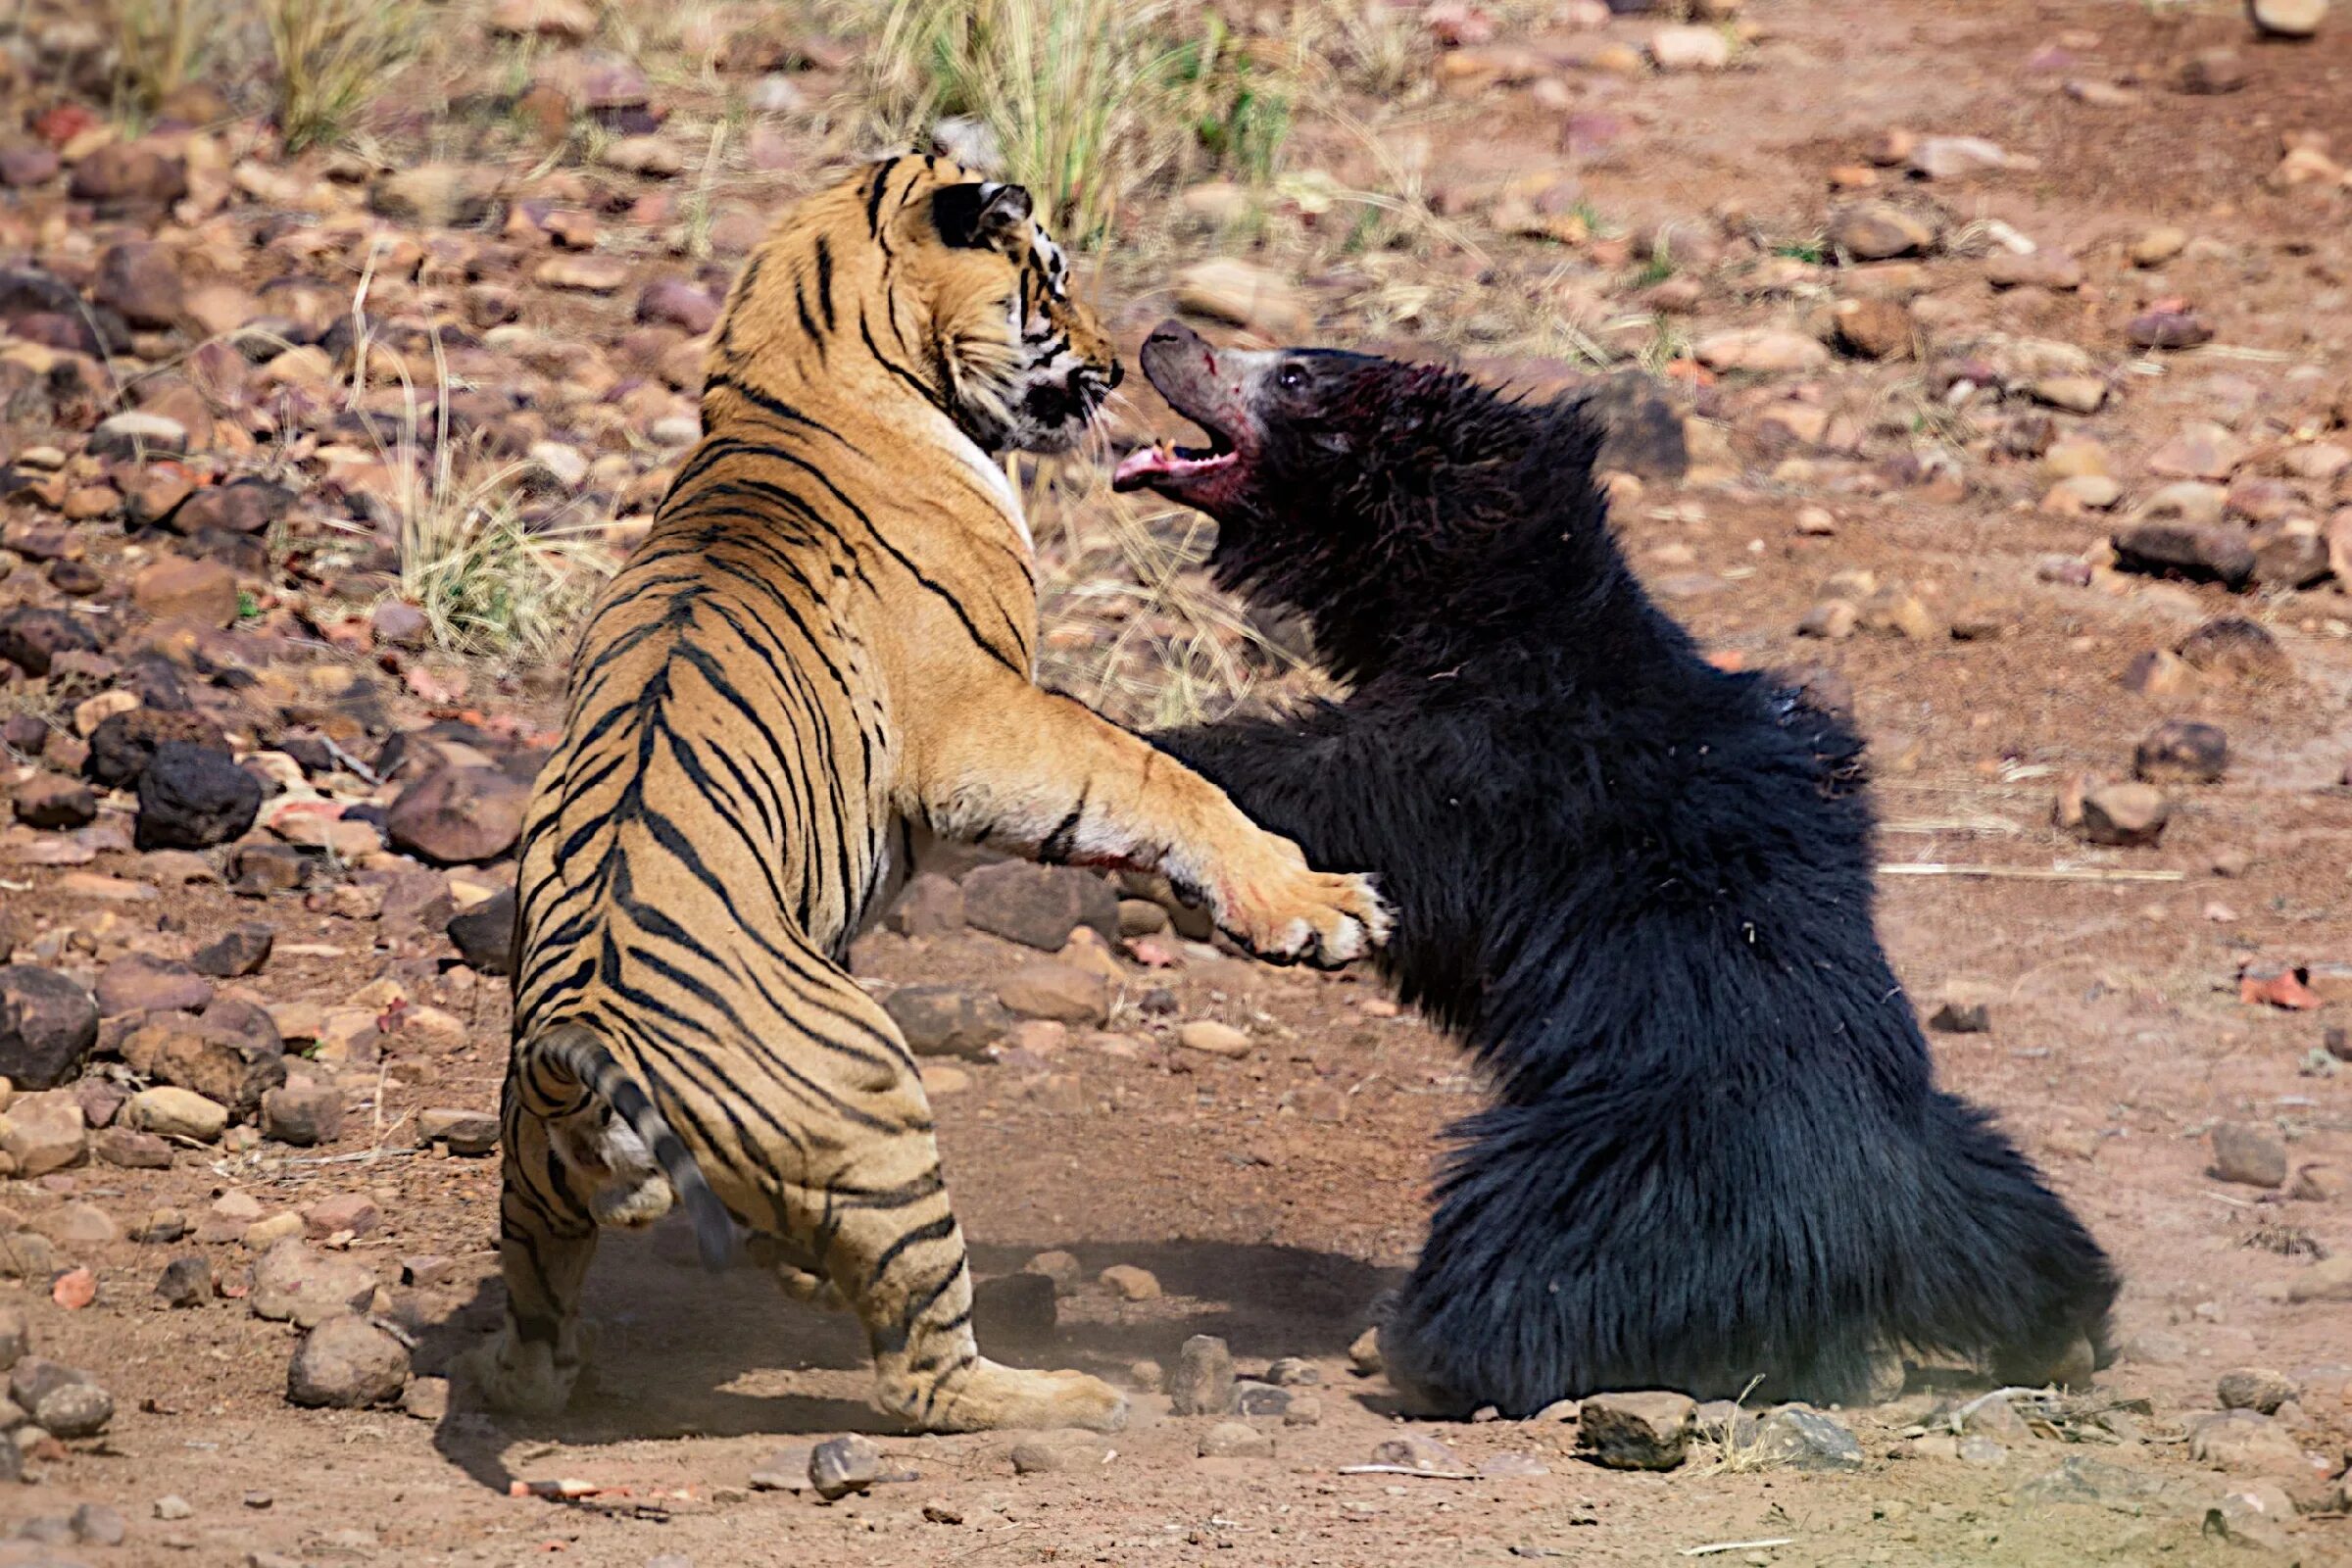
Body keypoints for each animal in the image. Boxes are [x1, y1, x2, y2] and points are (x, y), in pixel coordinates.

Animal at [477, 156, 1392, 1439]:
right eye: (1049, 281)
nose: (1117, 357)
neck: (788, 374)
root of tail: (581, 1042)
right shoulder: (984, 725)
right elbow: (1153, 775)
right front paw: (1318, 907)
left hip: (533, 1193)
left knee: (534, 1342)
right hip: (880, 1110)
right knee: (923, 1372)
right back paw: (1069, 1396)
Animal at [1109, 319, 2126, 1410]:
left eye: (1295, 376)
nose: (1165, 334)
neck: (1490, 604)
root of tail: (1850, 1250)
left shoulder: (1482, 764)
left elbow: (1325, 786)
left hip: (1622, 1170)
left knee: (1516, 1260)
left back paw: (1424, 1349)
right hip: (1948, 1163)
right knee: (2014, 1215)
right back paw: (2067, 1331)